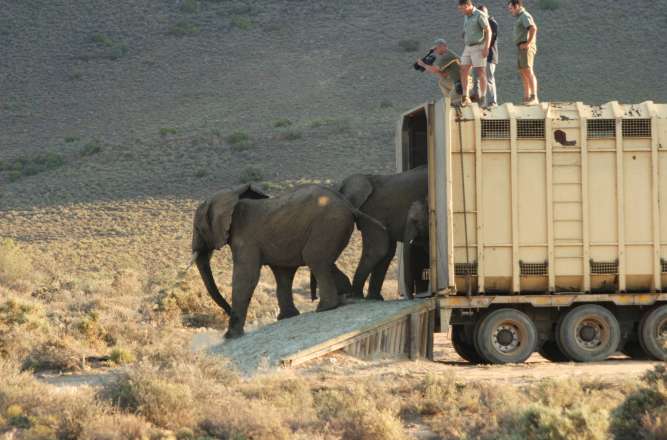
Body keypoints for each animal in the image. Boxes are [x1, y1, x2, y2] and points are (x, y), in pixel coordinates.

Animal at [191, 183, 388, 339]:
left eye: (198, 228)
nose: (227, 311)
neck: (230, 196)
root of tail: (349, 205)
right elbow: (282, 273)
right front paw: (287, 317)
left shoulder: (245, 240)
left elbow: (246, 278)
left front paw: (230, 337)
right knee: (324, 261)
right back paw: (345, 296)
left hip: (328, 224)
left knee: (315, 258)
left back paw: (325, 307)